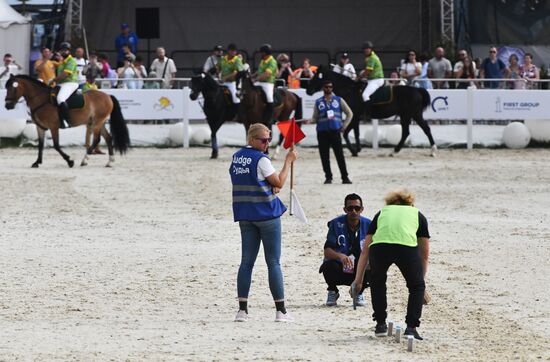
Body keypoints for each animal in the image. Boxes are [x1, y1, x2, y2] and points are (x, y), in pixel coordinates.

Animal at [308, 65, 438, 156]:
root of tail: (416, 90)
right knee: (406, 132)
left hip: (413, 114)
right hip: (405, 116)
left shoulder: (355, 116)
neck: (350, 90)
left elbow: (345, 133)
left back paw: (433, 151)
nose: (308, 90)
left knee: (425, 129)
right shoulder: (356, 118)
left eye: (316, 76)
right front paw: (358, 149)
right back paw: (395, 151)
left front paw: (354, 151)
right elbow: (356, 133)